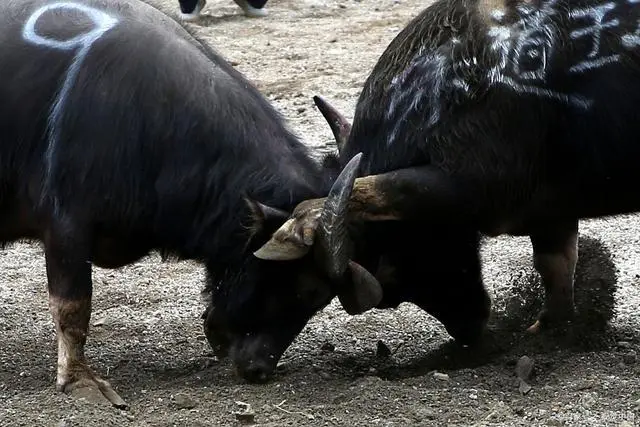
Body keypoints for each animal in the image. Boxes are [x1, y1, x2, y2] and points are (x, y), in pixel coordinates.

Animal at [255, 0, 640, 358]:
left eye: (391, 271)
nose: (472, 332)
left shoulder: (474, 185)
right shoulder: (550, 214)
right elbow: (555, 268)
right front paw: (551, 332)